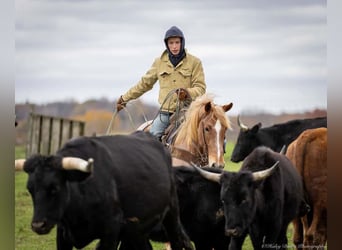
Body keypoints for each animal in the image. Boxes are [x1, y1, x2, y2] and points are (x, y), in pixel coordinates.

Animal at [15, 131, 192, 250]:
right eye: (30, 189)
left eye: (55, 188)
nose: (38, 225)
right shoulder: (63, 234)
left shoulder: (111, 231)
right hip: (138, 229)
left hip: (171, 215)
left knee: (177, 241)